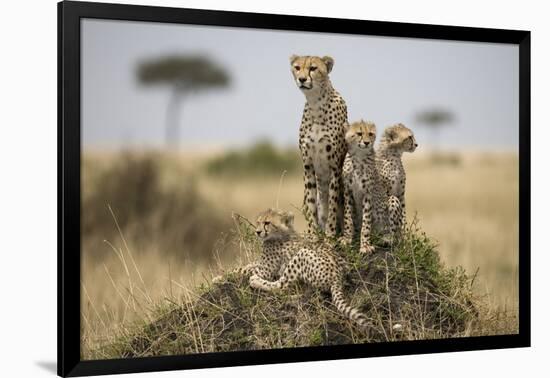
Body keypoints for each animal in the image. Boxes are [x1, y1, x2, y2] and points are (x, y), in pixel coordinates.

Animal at [235, 208, 368, 330]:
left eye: (267, 223)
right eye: (258, 222)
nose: (257, 232)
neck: (281, 233)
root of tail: (338, 277)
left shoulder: (264, 271)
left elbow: (241, 270)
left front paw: (232, 273)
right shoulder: (260, 265)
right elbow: (248, 265)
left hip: (301, 255)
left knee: (282, 287)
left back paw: (255, 281)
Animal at [292, 54, 348, 236]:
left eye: (313, 68)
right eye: (297, 68)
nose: (302, 79)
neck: (316, 102)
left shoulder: (335, 167)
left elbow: (332, 201)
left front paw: (330, 233)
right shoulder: (308, 165)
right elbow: (312, 203)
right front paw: (312, 234)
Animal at [340, 119, 396, 252]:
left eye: (370, 134)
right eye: (359, 133)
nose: (366, 142)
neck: (359, 156)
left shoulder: (368, 194)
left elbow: (366, 221)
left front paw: (365, 245)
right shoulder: (348, 192)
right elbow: (348, 217)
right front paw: (347, 239)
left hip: (392, 200)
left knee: (395, 234)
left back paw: (387, 239)